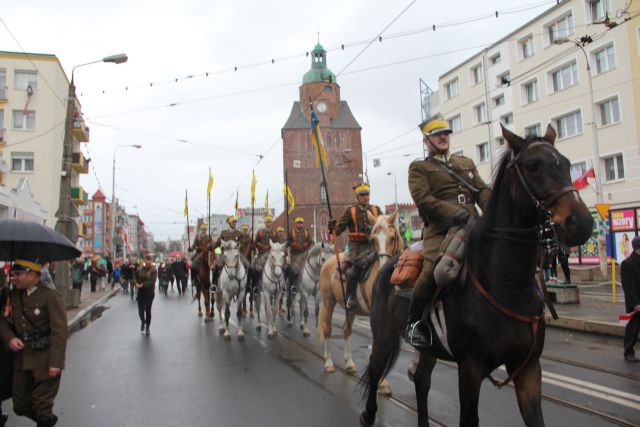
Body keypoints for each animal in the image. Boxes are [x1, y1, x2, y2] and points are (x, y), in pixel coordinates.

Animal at [318, 212, 402, 382]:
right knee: (327, 330)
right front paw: (380, 382)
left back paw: (349, 363)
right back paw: (329, 363)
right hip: (328, 302)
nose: (383, 267)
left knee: (346, 331)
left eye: (392, 237)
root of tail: (329, 261)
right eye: (373, 239)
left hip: (350, 310)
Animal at [360, 124, 596, 427]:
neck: (506, 283)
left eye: (565, 163)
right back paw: (368, 414)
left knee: (421, 381)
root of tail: (386, 266)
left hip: (430, 349)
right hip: (384, 335)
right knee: (375, 368)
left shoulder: (528, 369)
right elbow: (468, 419)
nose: (582, 223)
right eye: (533, 166)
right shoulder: (470, 370)